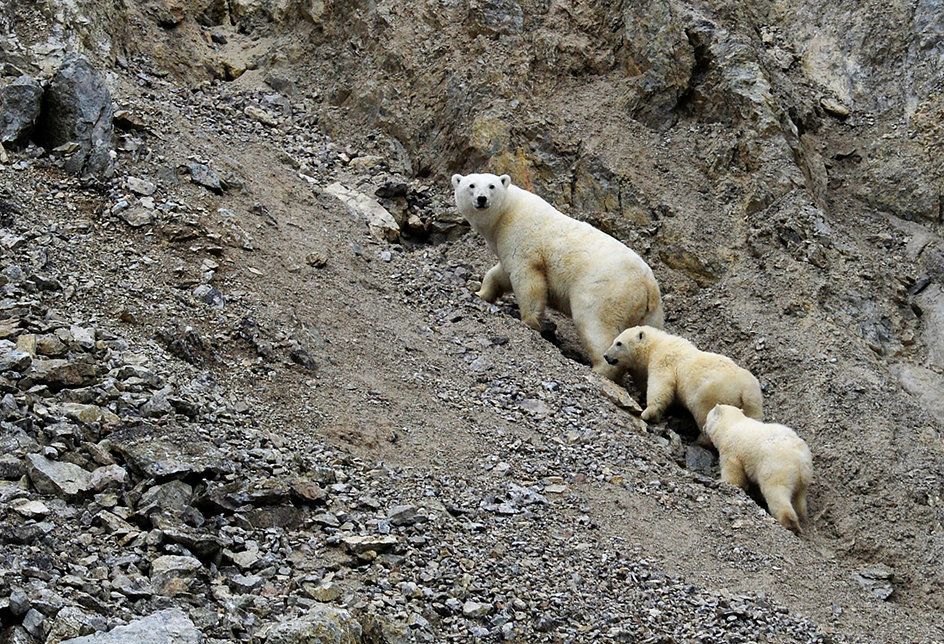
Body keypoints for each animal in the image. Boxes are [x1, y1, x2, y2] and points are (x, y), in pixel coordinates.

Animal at [452, 172, 664, 382]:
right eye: (471, 185)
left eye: (492, 186)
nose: (481, 199)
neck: (507, 212)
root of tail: (647, 285)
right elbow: (500, 274)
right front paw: (480, 293)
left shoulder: (523, 239)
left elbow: (528, 279)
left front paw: (529, 321)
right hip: (651, 314)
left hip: (605, 292)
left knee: (595, 326)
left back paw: (599, 369)